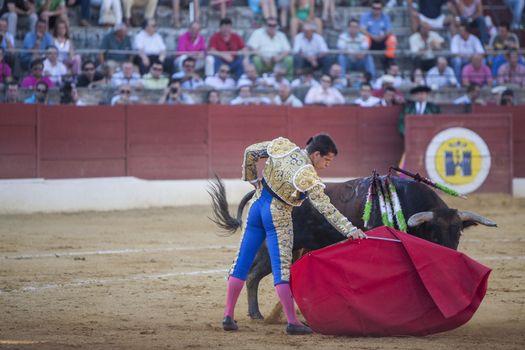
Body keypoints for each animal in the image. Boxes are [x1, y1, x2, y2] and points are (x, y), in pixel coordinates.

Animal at [209, 175, 496, 320]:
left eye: (458, 232)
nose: (451, 258)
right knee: (252, 275)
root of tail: (262, 190)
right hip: (273, 247)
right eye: (434, 234)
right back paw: (257, 314)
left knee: (252, 275)